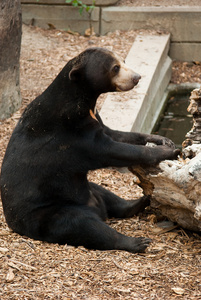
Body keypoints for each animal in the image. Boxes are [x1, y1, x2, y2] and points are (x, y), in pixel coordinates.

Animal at [0, 47, 179, 253]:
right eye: (115, 68)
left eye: (124, 61)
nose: (137, 77)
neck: (84, 102)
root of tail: (96, 208)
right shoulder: (72, 135)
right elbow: (113, 150)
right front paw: (170, 152)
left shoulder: (93, 120)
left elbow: (117, 134)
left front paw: (163, 140)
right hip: (49, 212)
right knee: (83, 225)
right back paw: (137, 241)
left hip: (90, 188)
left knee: (110, 197)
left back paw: (141, 201)